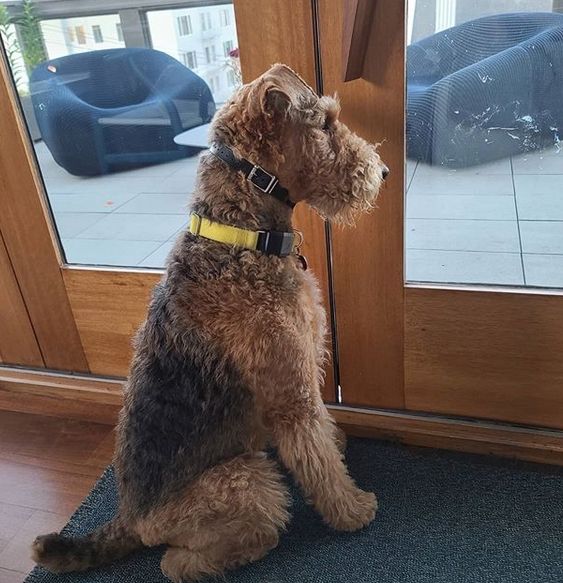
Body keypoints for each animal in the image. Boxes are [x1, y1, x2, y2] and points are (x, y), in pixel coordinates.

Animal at [33, 61, 390, 580]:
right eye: (324, 123)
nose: (382, 172)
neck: (240, 237)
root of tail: (130, 515)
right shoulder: (293, 397)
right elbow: (319, 463)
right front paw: (353, 509)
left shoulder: (303, 372)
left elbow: (322, 437)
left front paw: (338, 444)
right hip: (245, 480)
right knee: (180, 561)